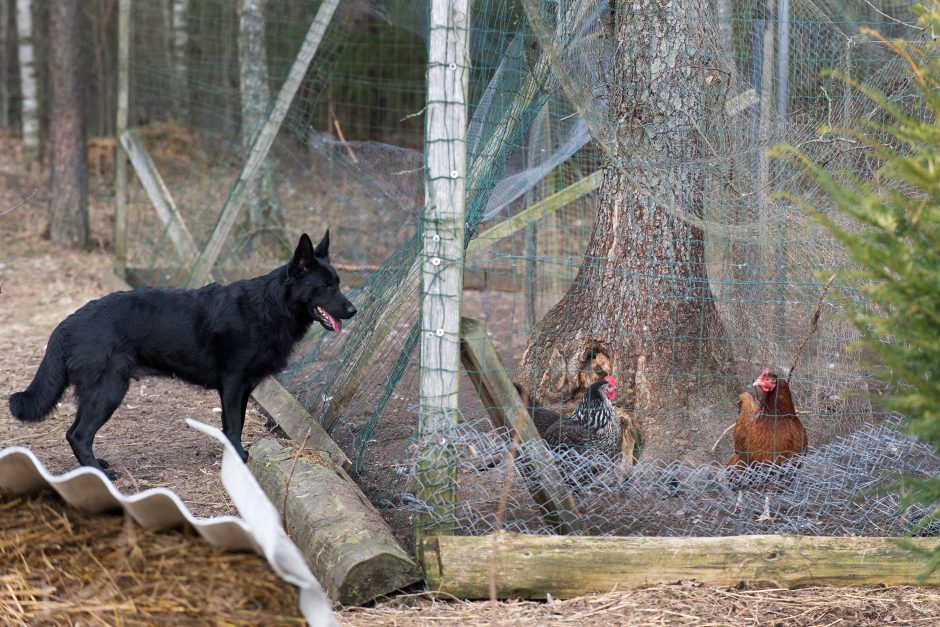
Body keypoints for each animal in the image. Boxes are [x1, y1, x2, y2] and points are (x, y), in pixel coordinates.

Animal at [9, 233, 354, 478]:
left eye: (338, 283)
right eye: (325, 286)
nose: (354, 311)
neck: (271, 306)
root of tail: (68, 322)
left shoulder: (243, 388)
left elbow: (236, 423)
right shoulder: (233, 384)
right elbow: (234, 426)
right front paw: (238, 459)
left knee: (74, 433)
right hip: (108, 391)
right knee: (79, 434)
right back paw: (97, 472)